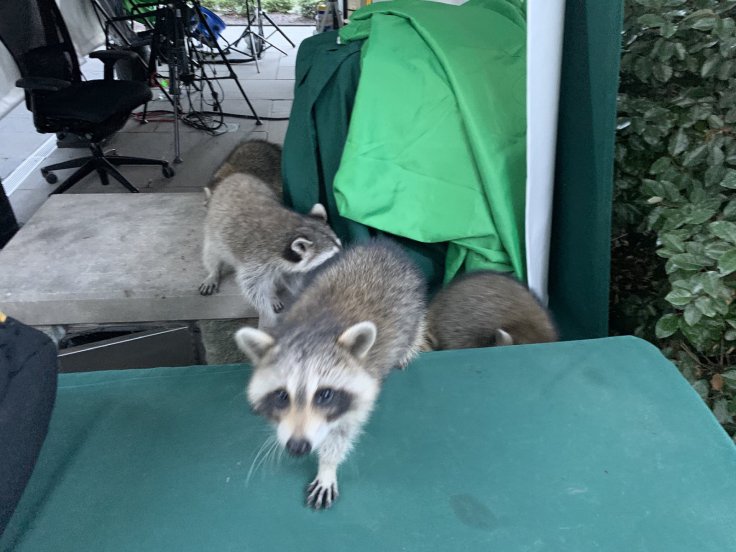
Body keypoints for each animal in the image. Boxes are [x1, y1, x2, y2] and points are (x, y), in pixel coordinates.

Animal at [200, 172, 340, 328]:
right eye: (332, 256)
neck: (294, 227)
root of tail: (235, 175)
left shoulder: (287, 264)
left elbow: (291, 277)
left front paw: (301, 291)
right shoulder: (255, 261)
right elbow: (253, 289)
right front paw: (268, 315)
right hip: (213, 230)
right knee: (211, 253)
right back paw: (213, 272)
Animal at [236, 239, 428, 512]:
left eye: (324, 394)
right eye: (282, 396)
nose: (297, 447)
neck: (314, 331)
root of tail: (383, 244)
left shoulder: (360, 394)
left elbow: (341, 434)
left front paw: (327, 467)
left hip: (414, 300)